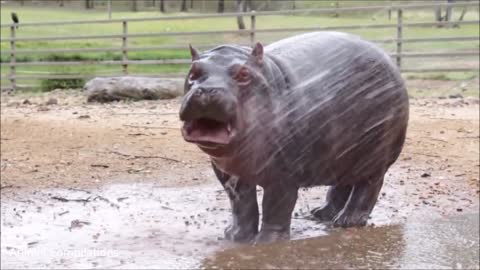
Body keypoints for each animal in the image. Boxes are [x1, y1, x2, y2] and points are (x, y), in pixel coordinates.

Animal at [179, 31, 408, 243]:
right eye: (193, 73)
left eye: (244, 74)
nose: (207, 90)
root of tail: (388, 60)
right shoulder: (228, 174)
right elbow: (241, 204)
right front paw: (235, 236)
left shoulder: (283, 173)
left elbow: (276, 205)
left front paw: (267, 241)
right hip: (343, 153)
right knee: (343, 184)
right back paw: (321, 214)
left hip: (375, 154)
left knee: (368, 186)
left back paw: (347, 221)